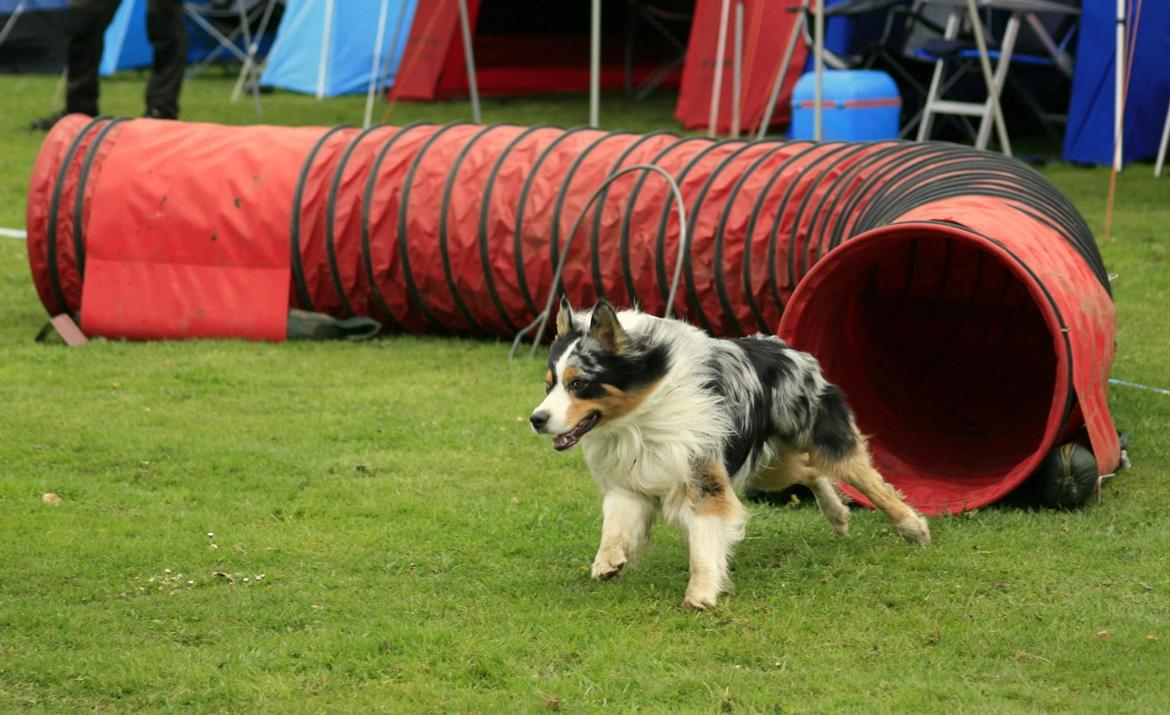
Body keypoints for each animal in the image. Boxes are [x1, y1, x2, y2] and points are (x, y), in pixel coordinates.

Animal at [533, 298, 931, 608]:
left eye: (579, 384)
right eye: (549, 385)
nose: (537, 419)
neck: (640, 417)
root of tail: (783, 345)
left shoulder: (704, 475)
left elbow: (705, 538)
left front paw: (701, 591)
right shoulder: (631, 480)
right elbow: (614, 525)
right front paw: (608, 561)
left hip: (820, 437)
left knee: (862, 476)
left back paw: (913, 527)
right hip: (767, 469)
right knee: (811, 472)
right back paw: (838, 515)